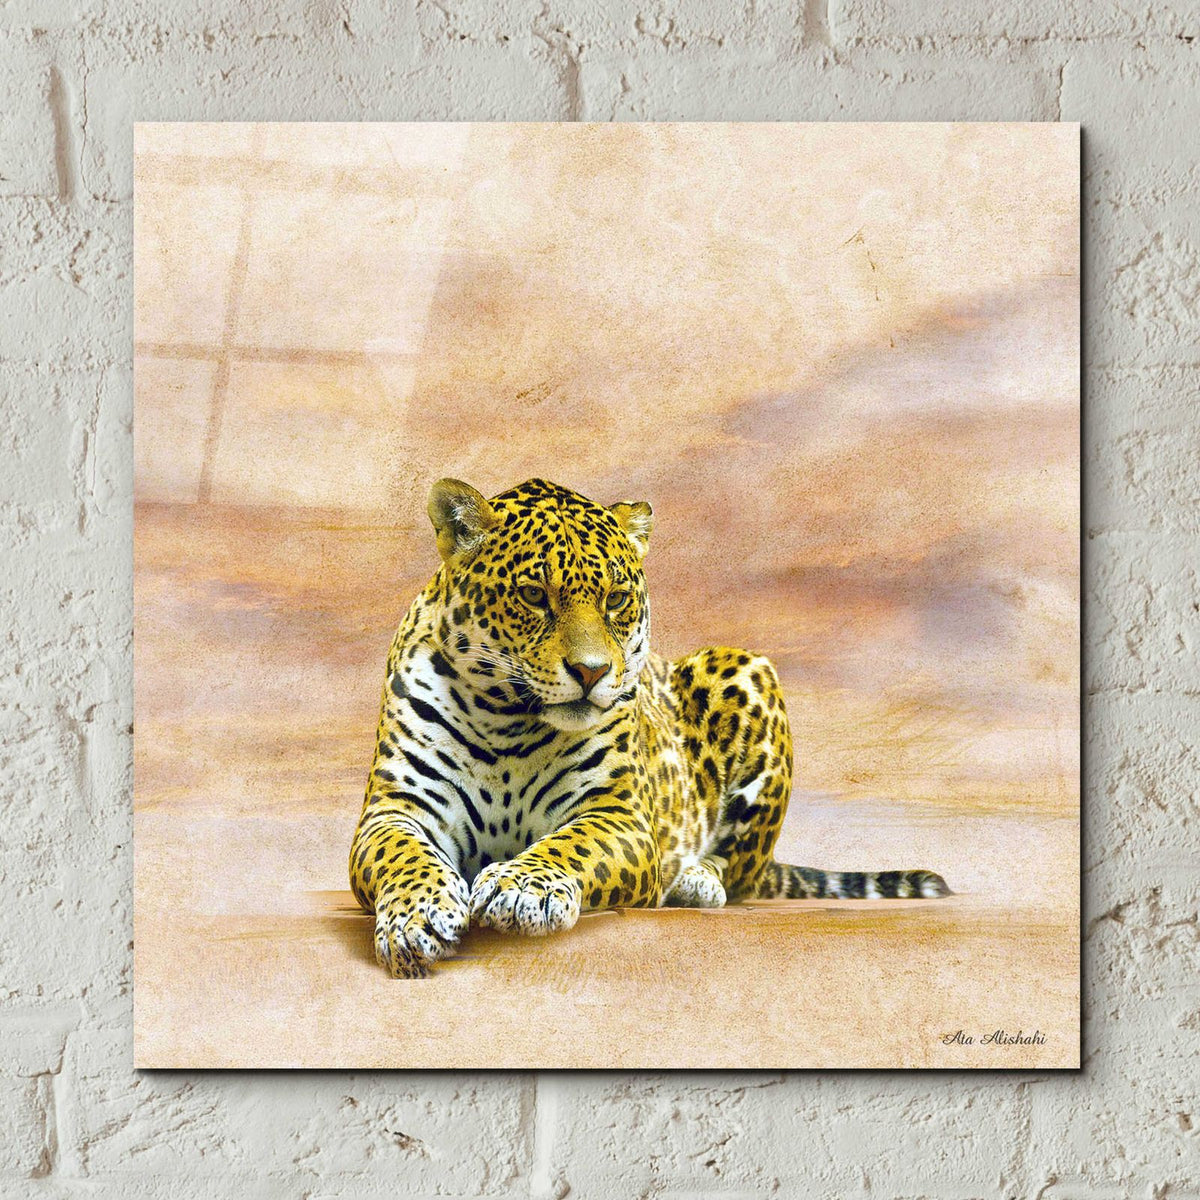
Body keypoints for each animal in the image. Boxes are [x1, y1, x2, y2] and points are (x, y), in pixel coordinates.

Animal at [350, 477, 950, 978]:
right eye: (534, 595)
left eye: (615, 599)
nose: (592, 672)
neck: (508, 721)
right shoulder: (395, 809)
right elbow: (401, 856)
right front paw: (417, 917)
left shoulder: (620, 816)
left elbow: (571, 844)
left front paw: (522, 888)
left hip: (745, 668)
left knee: (741, 869)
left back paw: (693, 882)